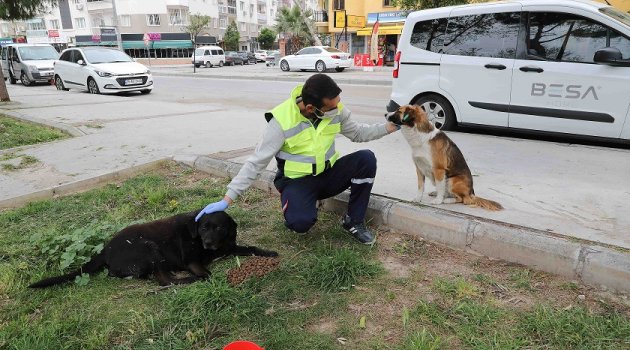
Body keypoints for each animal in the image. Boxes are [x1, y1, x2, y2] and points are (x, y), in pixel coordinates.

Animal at [28, 211, 278, 288]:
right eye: (203, 228)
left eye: (219, 228)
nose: (207, 243)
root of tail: (105, 249)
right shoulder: (192, 261)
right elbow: (207, 273)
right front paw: (201, 276)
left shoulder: (229, 248)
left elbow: (251, 247)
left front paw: (269, 253)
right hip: (149, 248)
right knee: (163, 280)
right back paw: (187, 280)